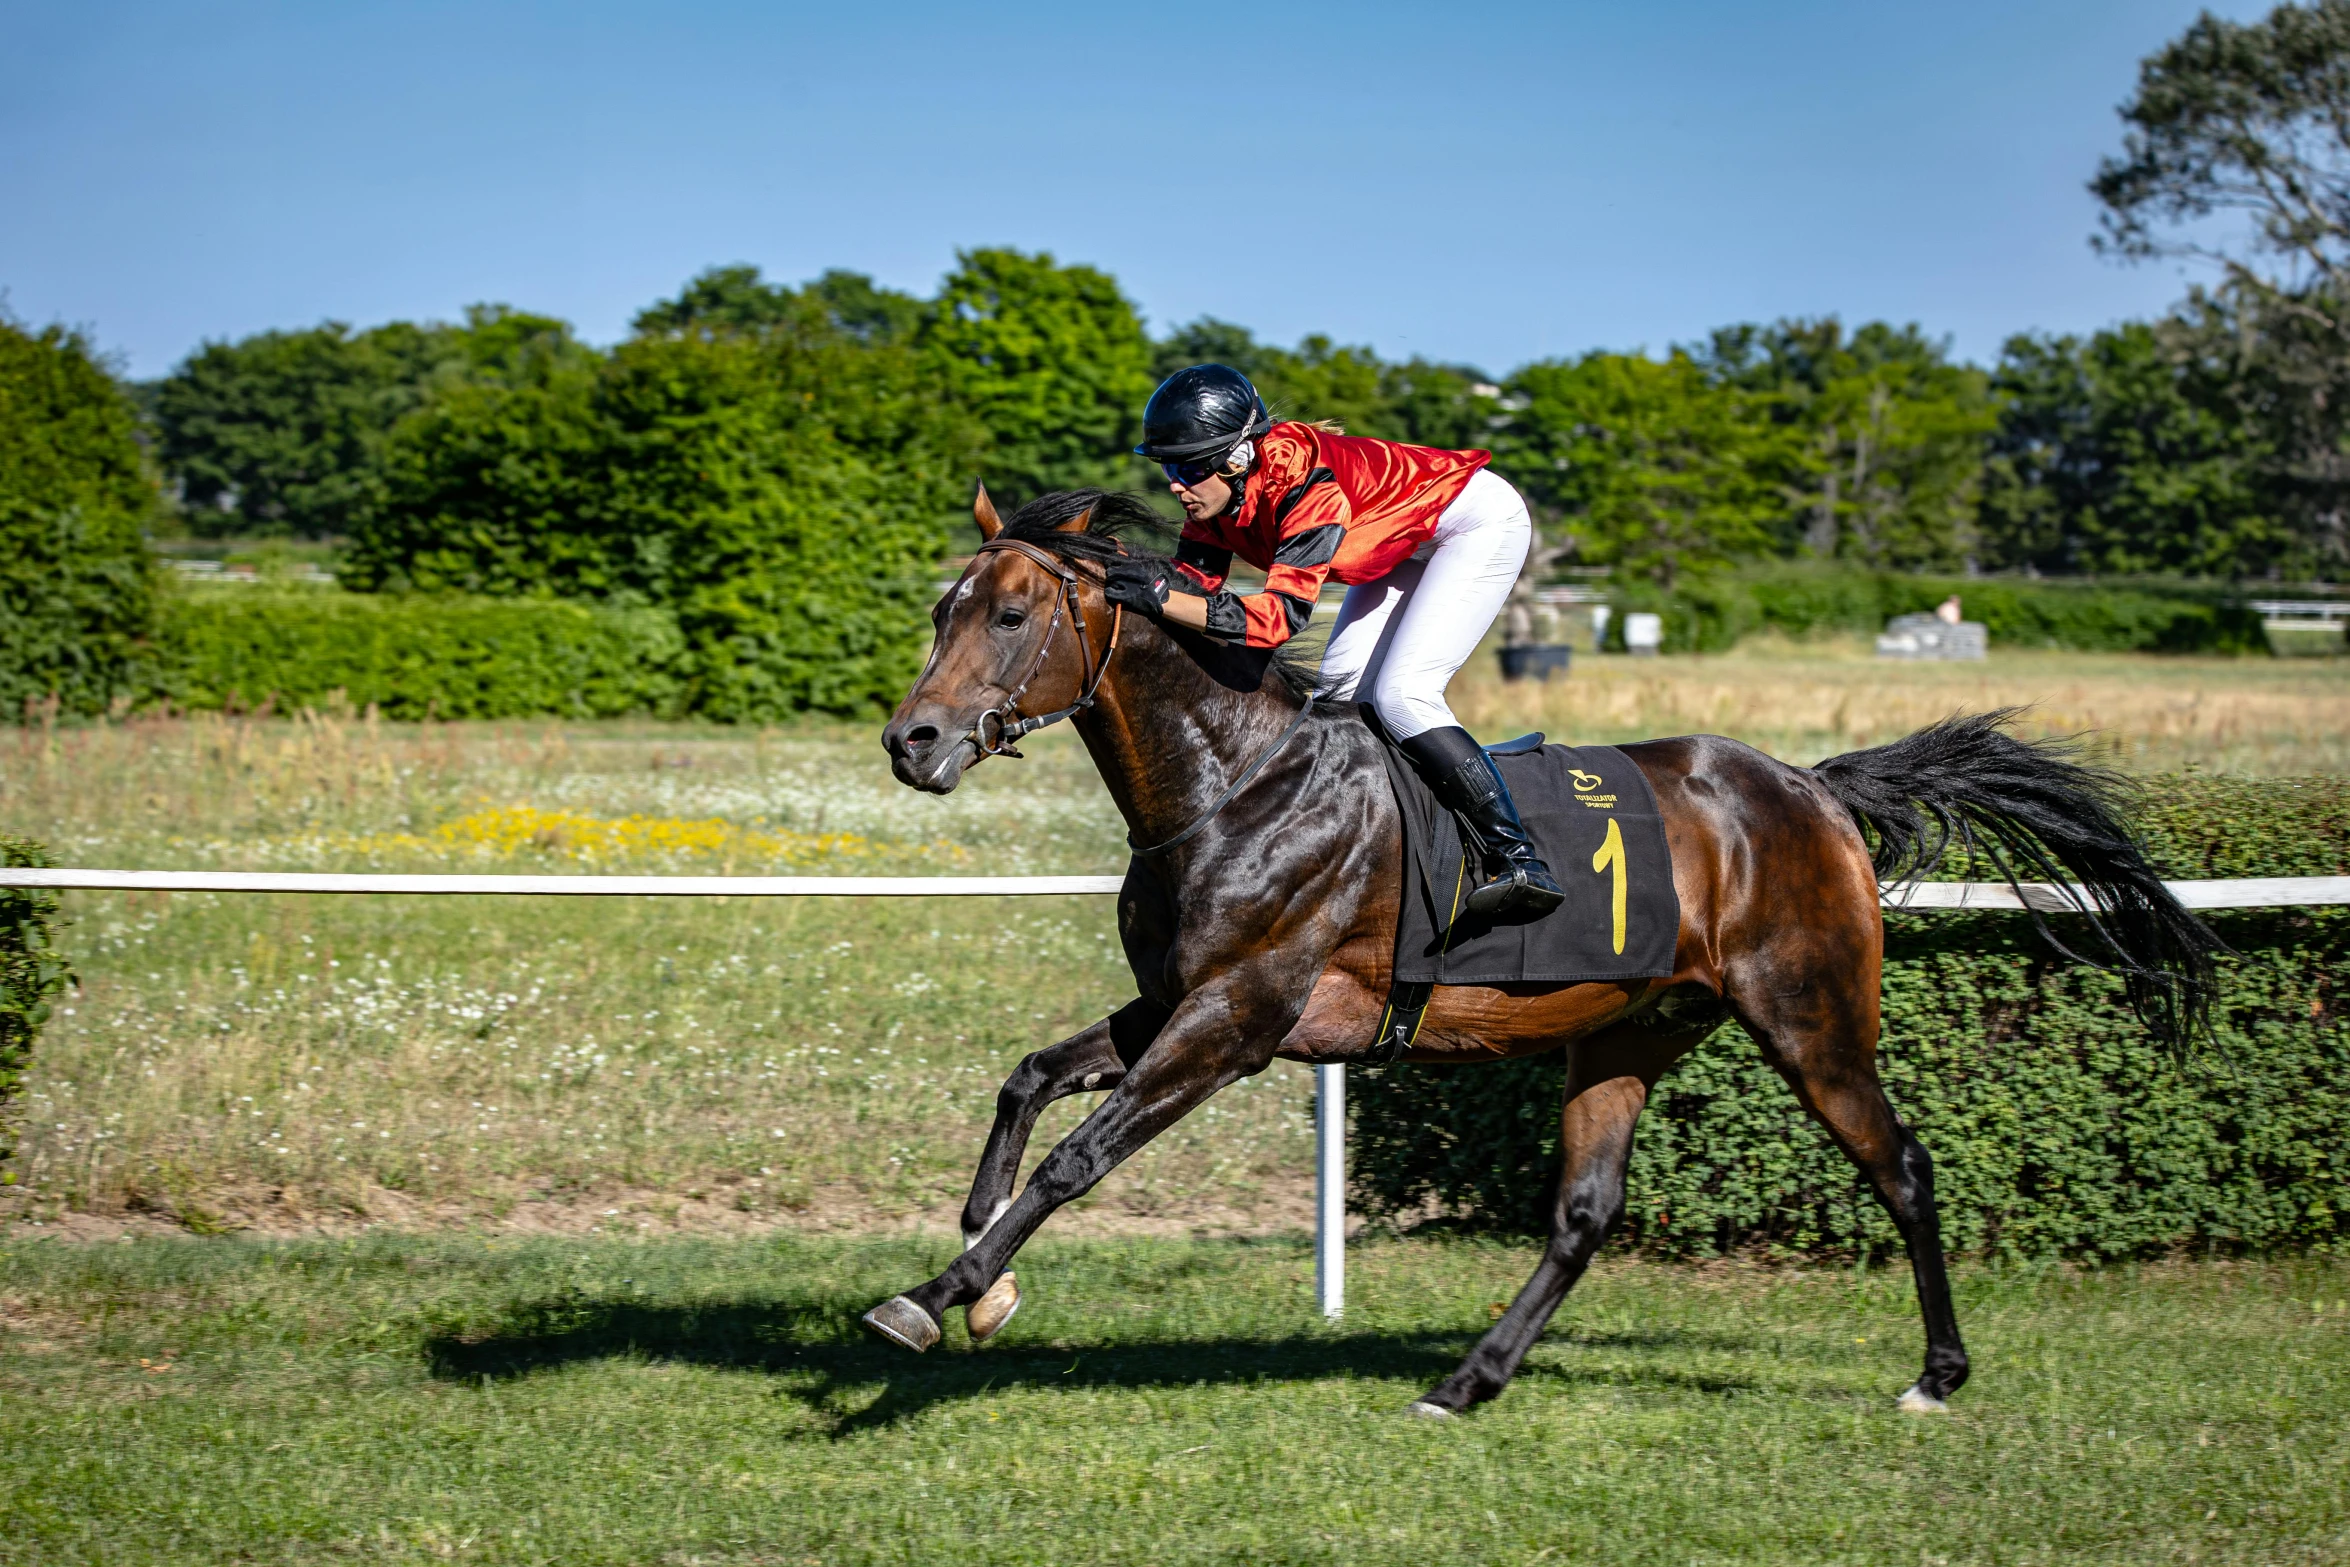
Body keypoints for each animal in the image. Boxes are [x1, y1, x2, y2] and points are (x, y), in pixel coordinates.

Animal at [869, 491, 2218, 1418]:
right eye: (941, 608)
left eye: (1009, 612)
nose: (911, 740)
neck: (1234, 784)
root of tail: (1815, 790)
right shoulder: (1178, 1002)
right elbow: (1030, 1079)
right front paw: (983, 1277)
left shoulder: (1237, 1019)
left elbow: (1078, 1157)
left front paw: (932, 1299)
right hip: (1629, 1029)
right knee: (1583, 1213)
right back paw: (1465, 1379)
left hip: (1812, 1019)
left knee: (1903, 1167)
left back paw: (1936, 1373)